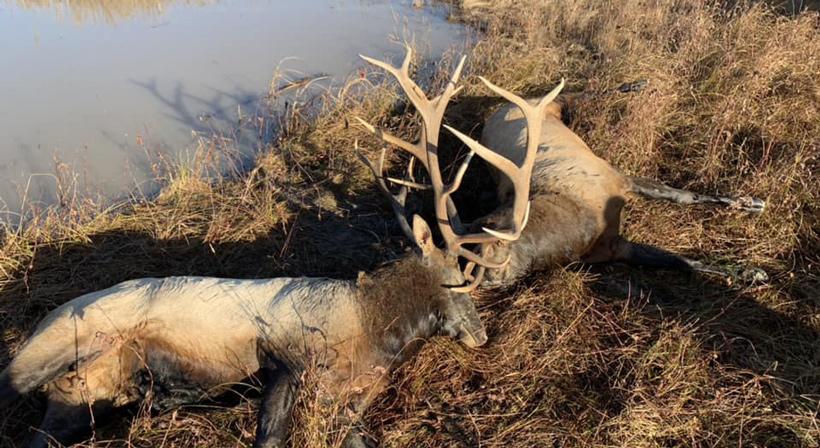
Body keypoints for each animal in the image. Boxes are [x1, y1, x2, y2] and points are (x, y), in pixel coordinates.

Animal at [356, 46, 766, 290]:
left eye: (470, 271)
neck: (578, 220)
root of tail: (503, 106)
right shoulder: (610, 248)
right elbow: (681, 262)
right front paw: (747, 269)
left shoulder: (612, 176)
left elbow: (680, 196)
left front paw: (750, 209)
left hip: (551, 104)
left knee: (575, 91)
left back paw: (636, 83)